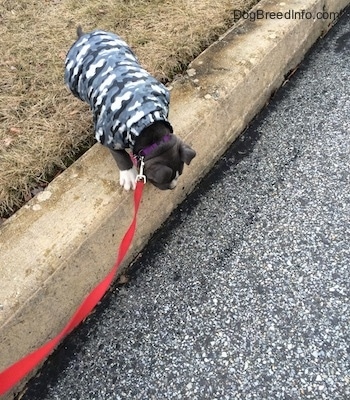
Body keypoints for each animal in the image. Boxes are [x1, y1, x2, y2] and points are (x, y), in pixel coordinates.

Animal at [64, 27, 196, 191]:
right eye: (160, 181)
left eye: (180, 173)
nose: (173, 187)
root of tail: (85, 36)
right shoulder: (109, 135)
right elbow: (121, 156)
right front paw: (129, 175)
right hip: (74, 84)